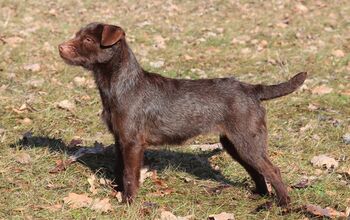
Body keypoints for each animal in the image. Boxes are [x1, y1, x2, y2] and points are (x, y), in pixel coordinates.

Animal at [58, 22, 306, 206]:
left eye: (88, 40)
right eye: (77, 35)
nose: (60, 47)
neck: (121, 85)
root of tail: (253, 89)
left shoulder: (132, 142)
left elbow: (130, 174)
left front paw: (128, 202)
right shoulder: (120, 139)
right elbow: (120, 170)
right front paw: (118, 194)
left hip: (247, 141)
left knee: (272, 170)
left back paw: (283, 204)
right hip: (234, 143)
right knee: (257, 170)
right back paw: (261, 195)